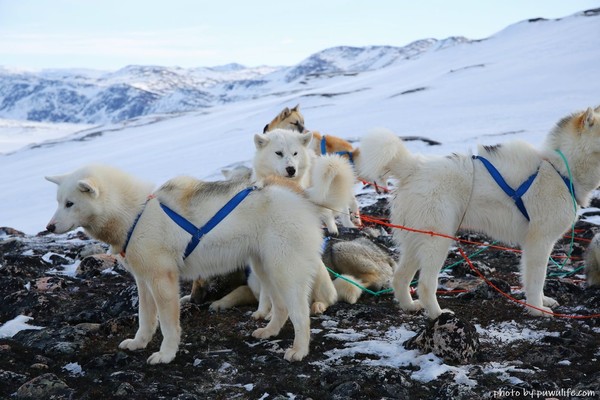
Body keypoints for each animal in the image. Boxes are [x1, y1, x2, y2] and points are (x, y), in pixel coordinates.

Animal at [45, 164, 338, 364]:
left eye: (70, 203)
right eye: (58, 202)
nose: (48, 227)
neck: (135, 214)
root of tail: (299, 195)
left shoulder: (162, 281)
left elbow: (167, 325)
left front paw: (166, 354)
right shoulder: (143, 281)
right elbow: (145, 319)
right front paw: (139, 343)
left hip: (284, 271)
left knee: (300, 314)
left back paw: (299, 349)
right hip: (264, 269)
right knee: (281, 308)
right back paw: (269, 331)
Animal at [356, 105, 600, 318]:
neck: (561, 169)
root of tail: (415, 167)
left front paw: (542, 302)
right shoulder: (539, 242)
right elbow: (536, 279)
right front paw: (537, 309)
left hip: (417, 241)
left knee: (400, 277)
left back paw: (409, 306)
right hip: (438, 241)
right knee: (425, 284)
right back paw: (438, 315)